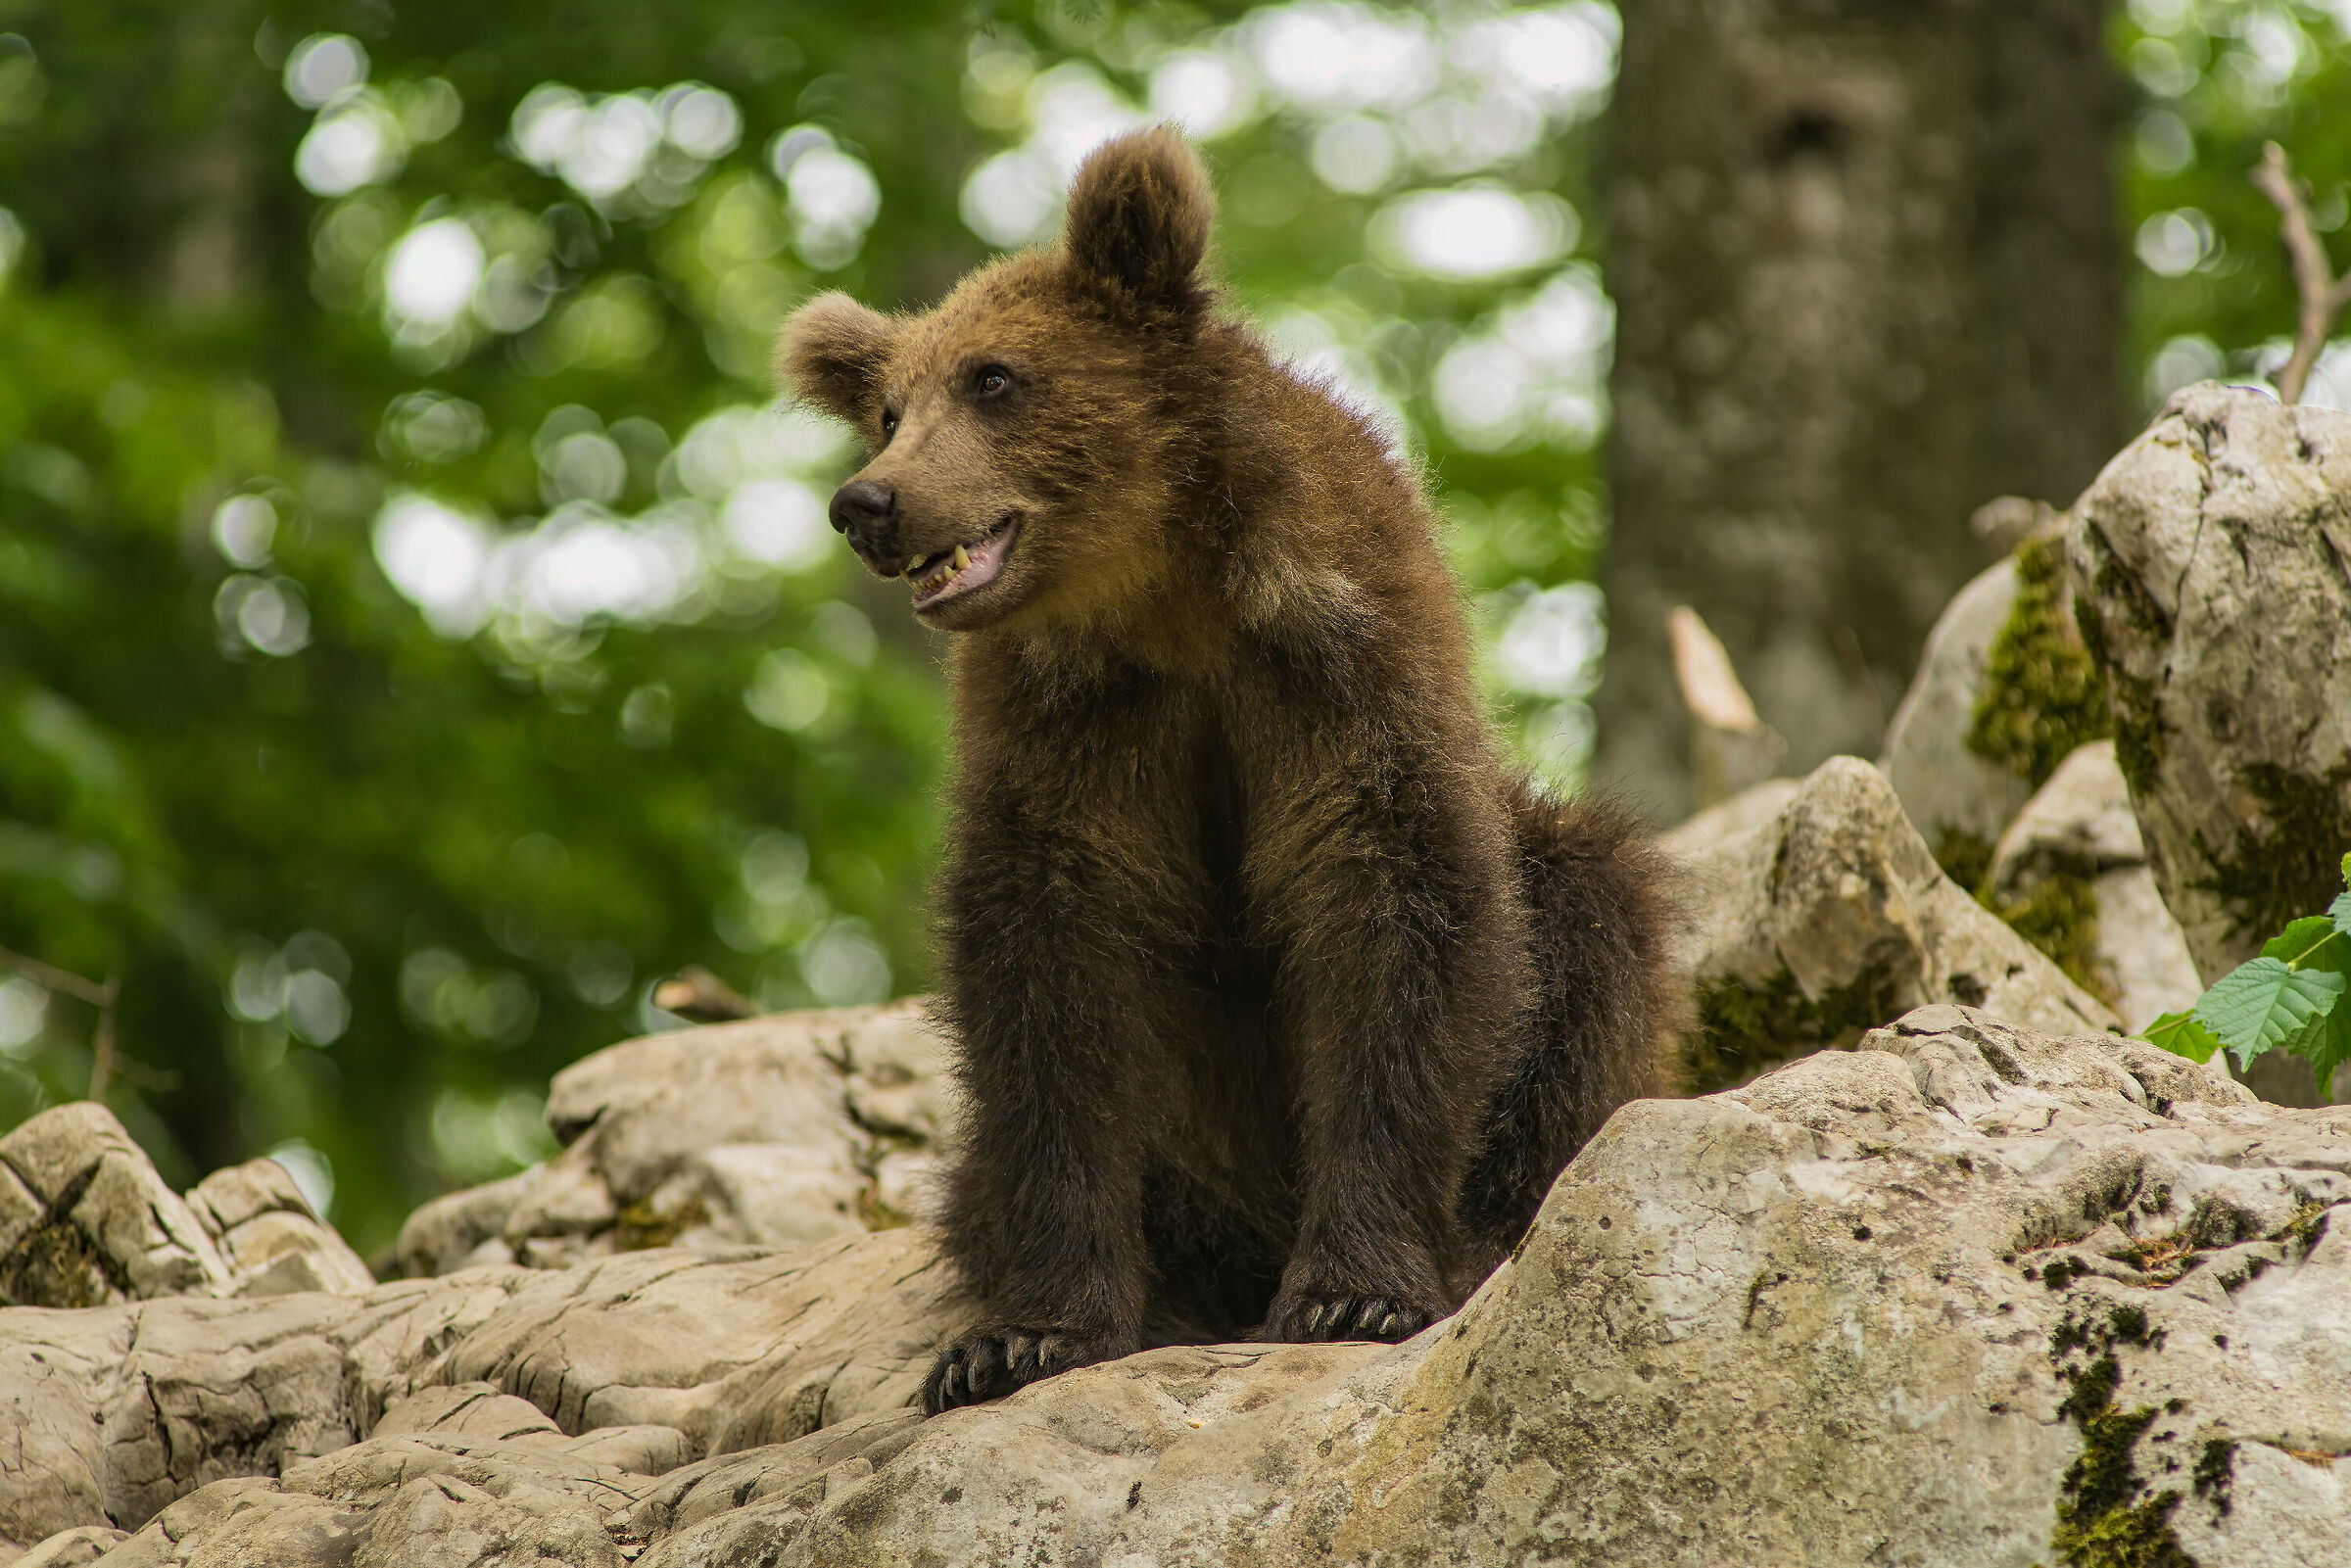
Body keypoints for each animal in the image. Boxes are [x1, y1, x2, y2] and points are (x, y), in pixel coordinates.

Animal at [777, 127, 1684, 1416]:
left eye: (996, 377)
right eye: (889, 408)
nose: (868, 501)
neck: (1164, 595)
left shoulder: (1332, 666)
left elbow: (1398, 914)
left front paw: (1357, 1290)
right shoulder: (1072, 728)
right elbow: (1051, 982)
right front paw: (1022, 1334)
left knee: (1591, 911)